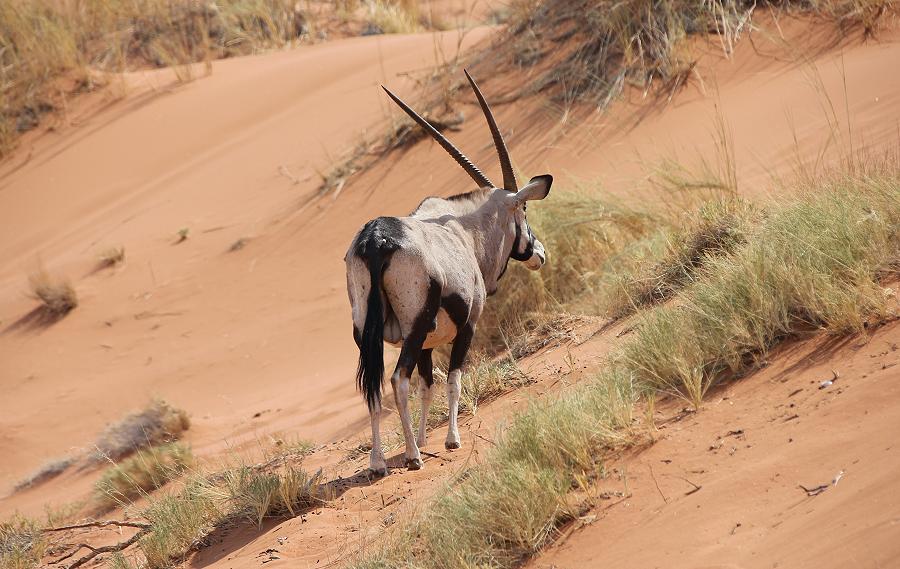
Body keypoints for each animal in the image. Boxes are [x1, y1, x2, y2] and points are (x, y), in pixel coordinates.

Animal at [348, 71, 552, 474]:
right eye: (524, 212)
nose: (539, 253)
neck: (466, 232)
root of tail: (376, 240)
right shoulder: (467, 327)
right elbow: (453, 379)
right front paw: (449, 440)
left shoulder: (428, 343)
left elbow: (428, 385)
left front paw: (425, 438)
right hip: (412, 330)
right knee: (398, 379)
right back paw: (412, 457)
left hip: (365, 333)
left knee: (375, 387)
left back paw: (379, 462)